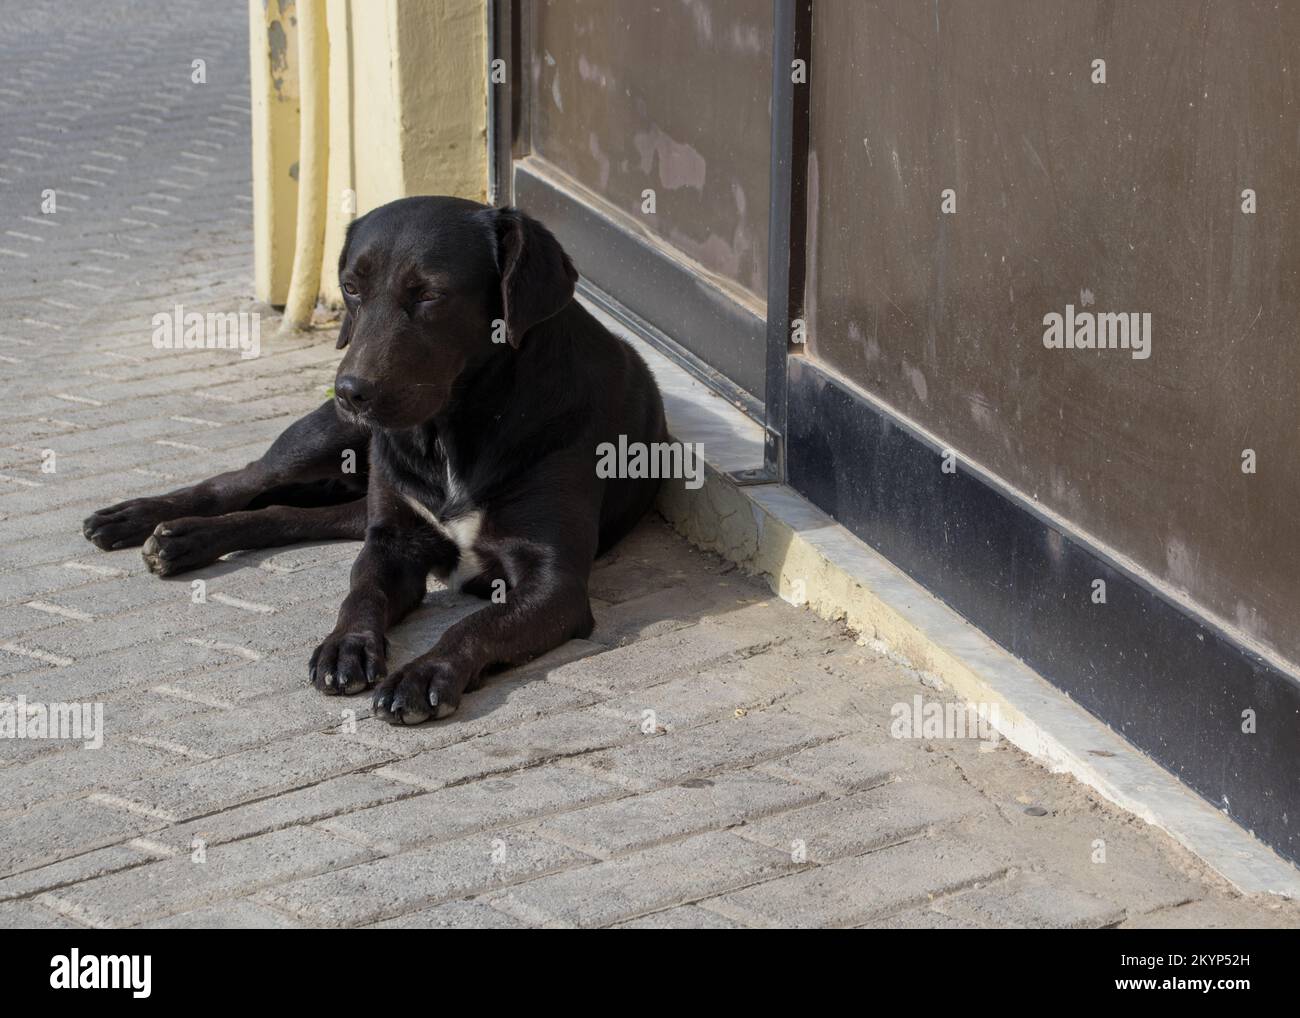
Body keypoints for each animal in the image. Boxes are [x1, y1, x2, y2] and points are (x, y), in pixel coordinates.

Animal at [86, 197, 665, 722]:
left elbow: (474, 624)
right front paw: (347, 644)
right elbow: (360, 593)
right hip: (323, 441)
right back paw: (149, 522)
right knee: (241, 481)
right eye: (350, 287)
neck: (452, 434)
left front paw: (423, 673)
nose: (351, 392)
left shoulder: (553, 582)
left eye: (430, 294)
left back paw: (185, 538)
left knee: (285, 514)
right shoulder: (393, 541)